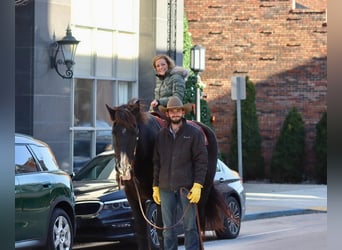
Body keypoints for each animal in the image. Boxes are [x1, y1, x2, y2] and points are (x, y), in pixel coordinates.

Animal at [106, 98, 230, 249]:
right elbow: (141, 230)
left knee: (197, 224)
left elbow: (161, 231)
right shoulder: (133, 198)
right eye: (114, 131)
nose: (123, 168)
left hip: (202, 194)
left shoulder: (159, 199)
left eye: (135, 130)